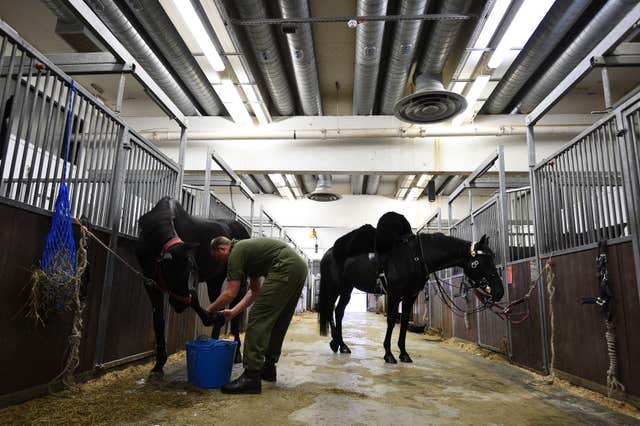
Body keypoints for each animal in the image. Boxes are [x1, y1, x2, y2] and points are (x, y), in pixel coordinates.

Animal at [136, 196, 249, 376]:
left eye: (193, 269)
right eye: (171, 272)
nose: (178, 305)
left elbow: (194, 298)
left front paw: (209, 317)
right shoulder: (150, 282)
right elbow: (158, 321)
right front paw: (158, 365)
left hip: (239, 278)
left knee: (236, 311)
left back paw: (237, 353)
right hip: (215, 279)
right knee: (220, 301)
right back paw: (215, 340)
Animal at [318, 228, 502, 364]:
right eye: (484, 261)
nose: (499, 292)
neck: (415, 256)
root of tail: (329, 252)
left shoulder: (410, 295)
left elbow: (405, 321)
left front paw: (404, 354)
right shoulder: (394, 294)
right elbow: (392, 320)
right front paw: (389, 354)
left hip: (346, 289)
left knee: (338, 312)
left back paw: (341, 345)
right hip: (335, 288)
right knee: (331, 309)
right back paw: (336, 343)